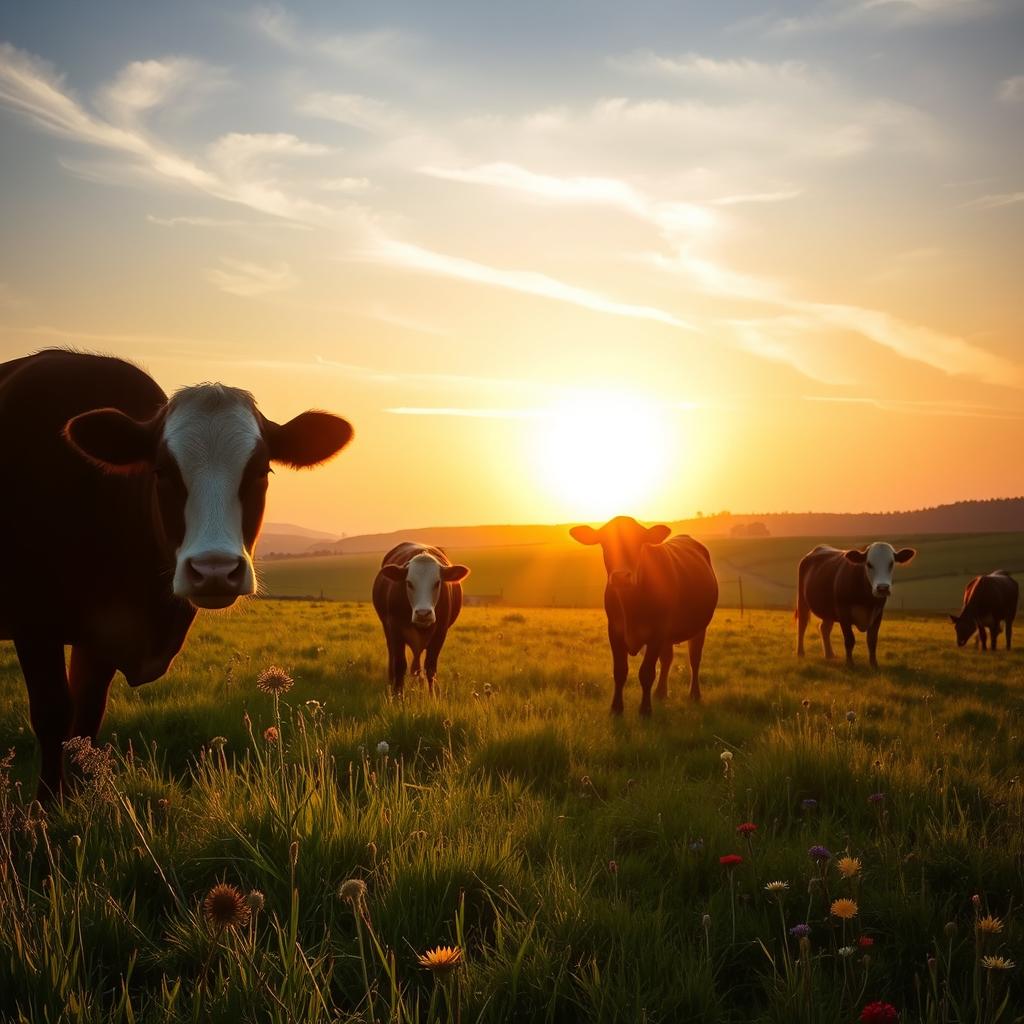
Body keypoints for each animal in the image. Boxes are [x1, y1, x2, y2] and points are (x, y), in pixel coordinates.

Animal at [0, 352, 354, 798]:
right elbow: (53, 716)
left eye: (262, 471)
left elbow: (85, 722)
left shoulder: (102, 635)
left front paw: (77, 803)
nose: (214, 570)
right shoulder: (35, 623)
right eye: (162, 471)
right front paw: (48, 807)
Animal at [370, 544, 468, 696]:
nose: (423, 613)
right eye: (409, 583)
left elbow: (430, 667)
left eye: (437, 583)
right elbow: (399, 665)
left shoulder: (440, 633)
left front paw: (432, 696)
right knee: (393, 658)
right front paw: (398, 696)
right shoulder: (394, 629)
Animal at [569, 516, 720, 716]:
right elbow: (620, 671)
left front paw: (645, 710)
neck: (631, 604)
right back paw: (660, 693)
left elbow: (647, 673)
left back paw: (694, 694)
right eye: (605, 542)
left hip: (699, 627)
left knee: (694, 659)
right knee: (667, 659)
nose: (621, 576)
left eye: (638, 542)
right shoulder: (615, 631)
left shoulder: (657, 633)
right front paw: (616, 709)